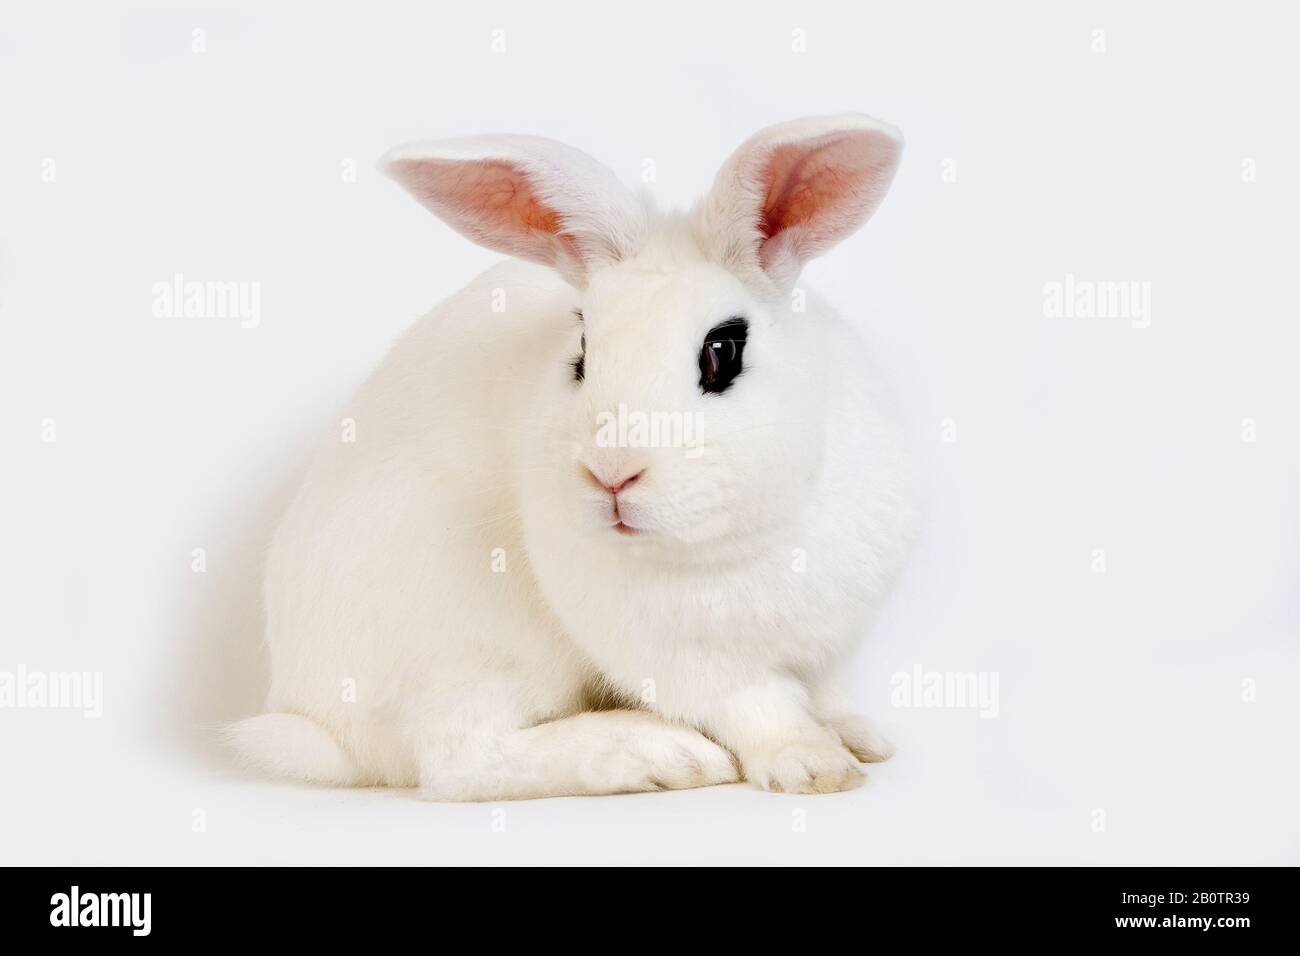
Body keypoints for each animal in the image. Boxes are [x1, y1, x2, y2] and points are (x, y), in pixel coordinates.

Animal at [226, 113, 915, 801]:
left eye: (723, 351)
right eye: (582, 352)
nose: (612, 474)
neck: (737, 543)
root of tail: (320, 726)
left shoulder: (831, 645)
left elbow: (826, 695)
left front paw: (862, 741)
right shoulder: (697, 665)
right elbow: (762, 709)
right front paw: (815, 766)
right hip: (470, 651)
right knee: (459, 760)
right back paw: (658, 753)